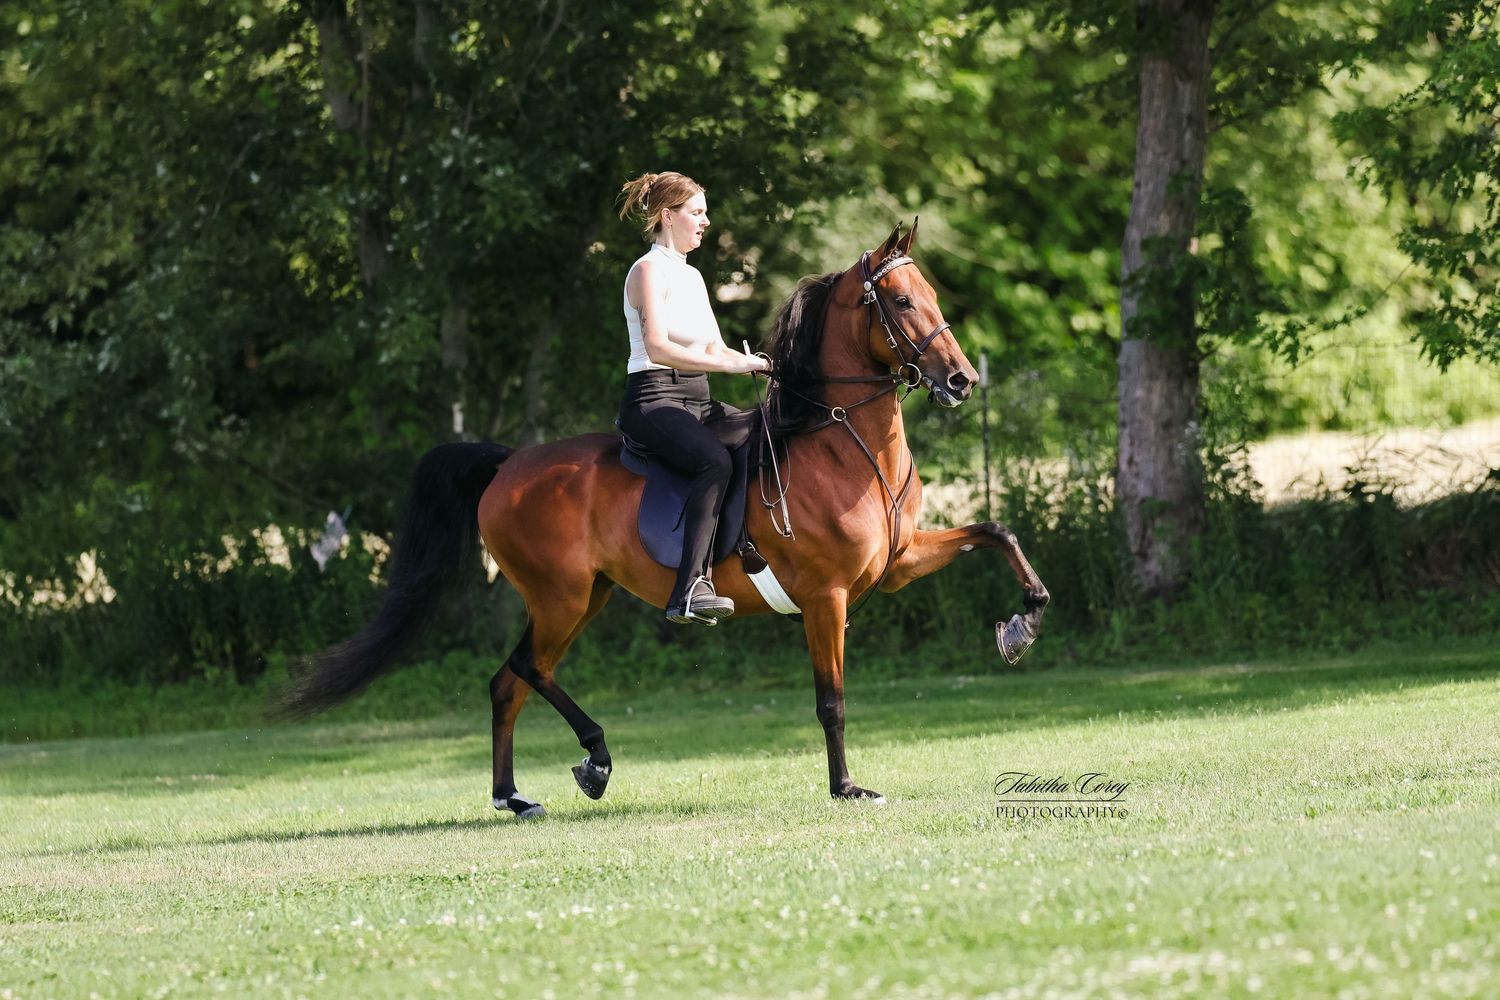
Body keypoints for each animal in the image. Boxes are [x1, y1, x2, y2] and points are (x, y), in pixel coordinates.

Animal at [281, 221, 1050, 817]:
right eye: (900, 300)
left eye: (933, 296)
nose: (961, 381)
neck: (842, 444)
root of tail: (507, 466)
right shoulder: (826, 599)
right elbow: (831, 702)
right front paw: (846, 788)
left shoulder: (898, 563)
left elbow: (994, 531)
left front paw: (1024, 621)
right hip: (561, 597)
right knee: (526, 669)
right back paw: (593, 759)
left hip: (584, 597)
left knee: (510, 681)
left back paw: (513, 796)